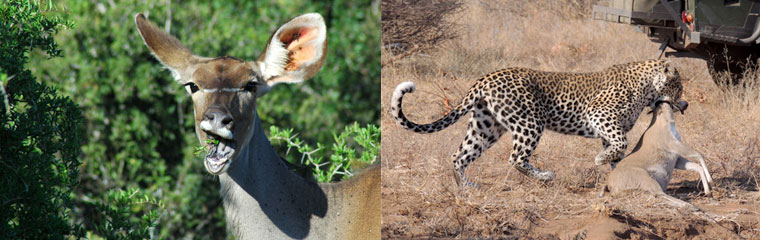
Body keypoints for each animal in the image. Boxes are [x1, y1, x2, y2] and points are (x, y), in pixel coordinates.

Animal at [392, 59, 684, 187]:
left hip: (486, 126)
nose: (686, 104)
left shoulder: (610, 127)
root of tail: (485, 78)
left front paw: (615, 171)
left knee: (459, 155)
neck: (647, 88)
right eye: (679, 86)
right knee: (516, 157)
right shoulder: (599, 114)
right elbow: (620, 143)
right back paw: (545, 176)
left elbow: (618, 150)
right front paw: (601, 161)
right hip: (530, 122)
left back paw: (465, 188)